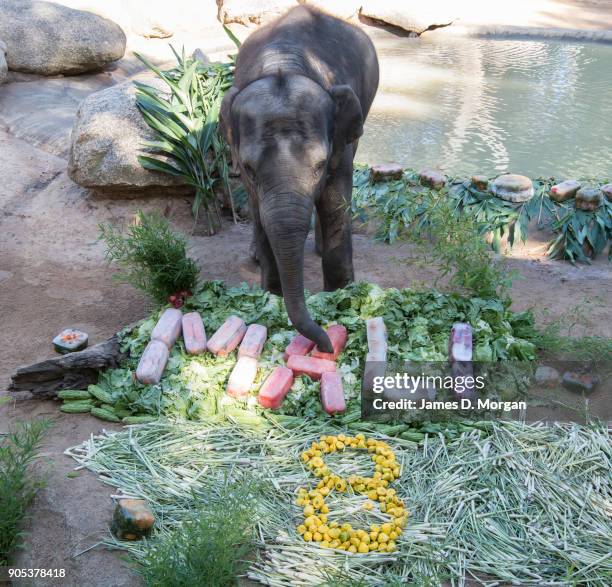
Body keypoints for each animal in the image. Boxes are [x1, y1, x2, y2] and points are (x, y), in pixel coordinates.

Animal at [222, 4, 378, 352]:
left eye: (320, 166)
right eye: (249, 169)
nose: (326, 346)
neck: (284, 64)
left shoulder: (340, 144)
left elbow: (335, 201)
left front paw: (341, 294)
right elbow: (259, 214)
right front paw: (271, 296)